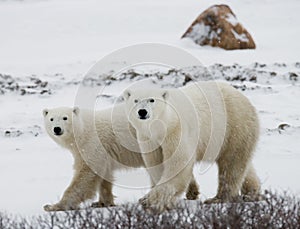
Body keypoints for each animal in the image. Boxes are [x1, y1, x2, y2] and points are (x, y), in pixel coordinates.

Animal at [41, 105, 199, 211]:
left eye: (65, 117)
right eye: (51, 119)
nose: (57, 129)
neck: (82, 131)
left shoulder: (92, 144)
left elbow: (85, 176)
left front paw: (54, 206)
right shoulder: (102, 154)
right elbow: (104, 176)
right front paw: (102, 202)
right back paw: (192, 192)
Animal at [123, 80, 262, 211]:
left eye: (152, 100)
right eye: (135, 100)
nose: (142, 112)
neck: (162, 127)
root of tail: (243, 97)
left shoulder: (176, 132)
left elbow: (177, 164)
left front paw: (150, 200)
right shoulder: (148, 139)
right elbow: (156, 163)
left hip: (234, 126)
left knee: (232, 164)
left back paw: (218, 198)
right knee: (243, 165)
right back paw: (251, 193)